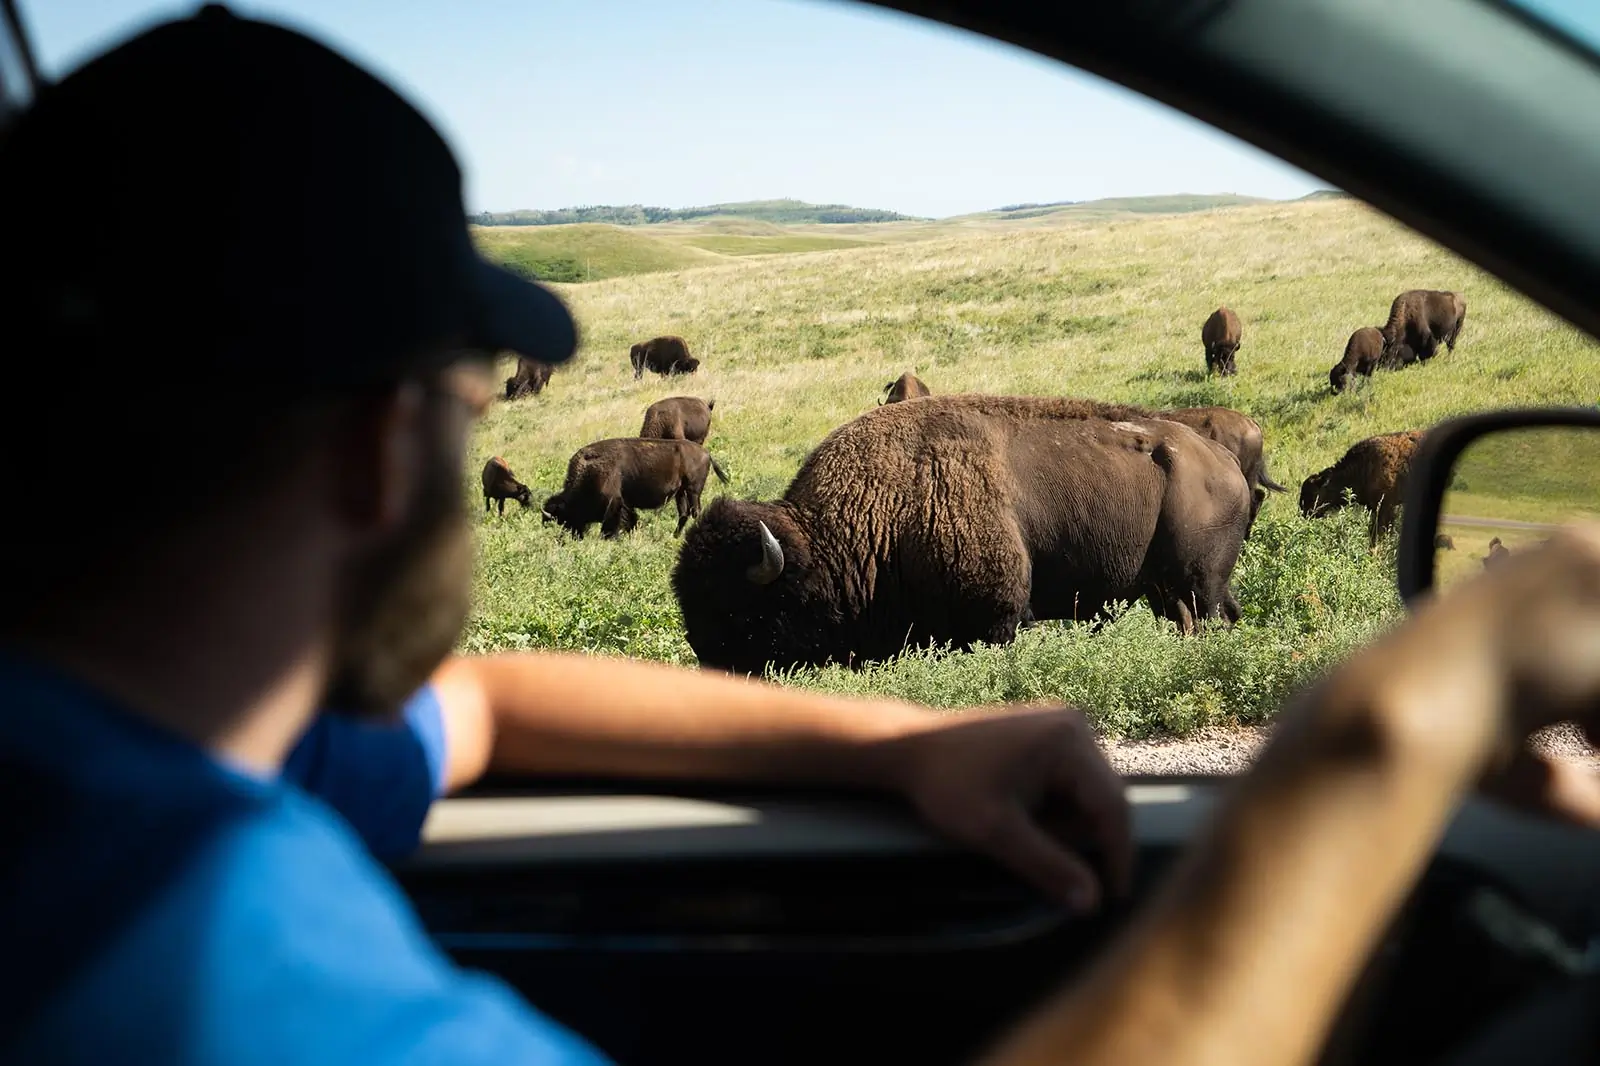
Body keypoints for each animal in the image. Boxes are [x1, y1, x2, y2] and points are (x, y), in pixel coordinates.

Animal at [543, 438, 729, 539]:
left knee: (695, 511)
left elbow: (611, 526)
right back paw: (675, 535)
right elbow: (631, 521)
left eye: (565, 518)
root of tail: (706, 453)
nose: (571, 537)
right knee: (684, 513)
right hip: (680, 492)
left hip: (693, 490)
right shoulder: (626, 504)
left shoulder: (614, 503)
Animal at [672, 395, 1253, 676]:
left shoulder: (995, 618)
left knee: (1213, 617)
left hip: (1199, 582)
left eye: (738, 609)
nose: (707, 664)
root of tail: (1225, 461)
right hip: (1167, 590)